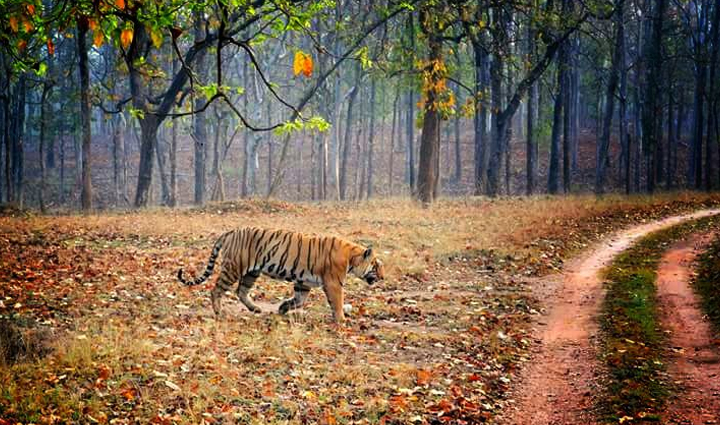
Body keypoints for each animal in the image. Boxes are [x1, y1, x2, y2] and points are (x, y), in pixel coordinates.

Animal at [177, 226, 385, 323]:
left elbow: (298, 300)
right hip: (234, 268)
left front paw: (283, 308)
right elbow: (338, 302)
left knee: (241, 291)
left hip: (252, 272)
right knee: (216, 290)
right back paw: (219, 312)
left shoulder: (303, 282)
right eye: (376, 266)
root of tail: (231, 231)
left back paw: (255, 309)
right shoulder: (334, 283)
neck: (352, 257)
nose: (383, 278)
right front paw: (342, 320)